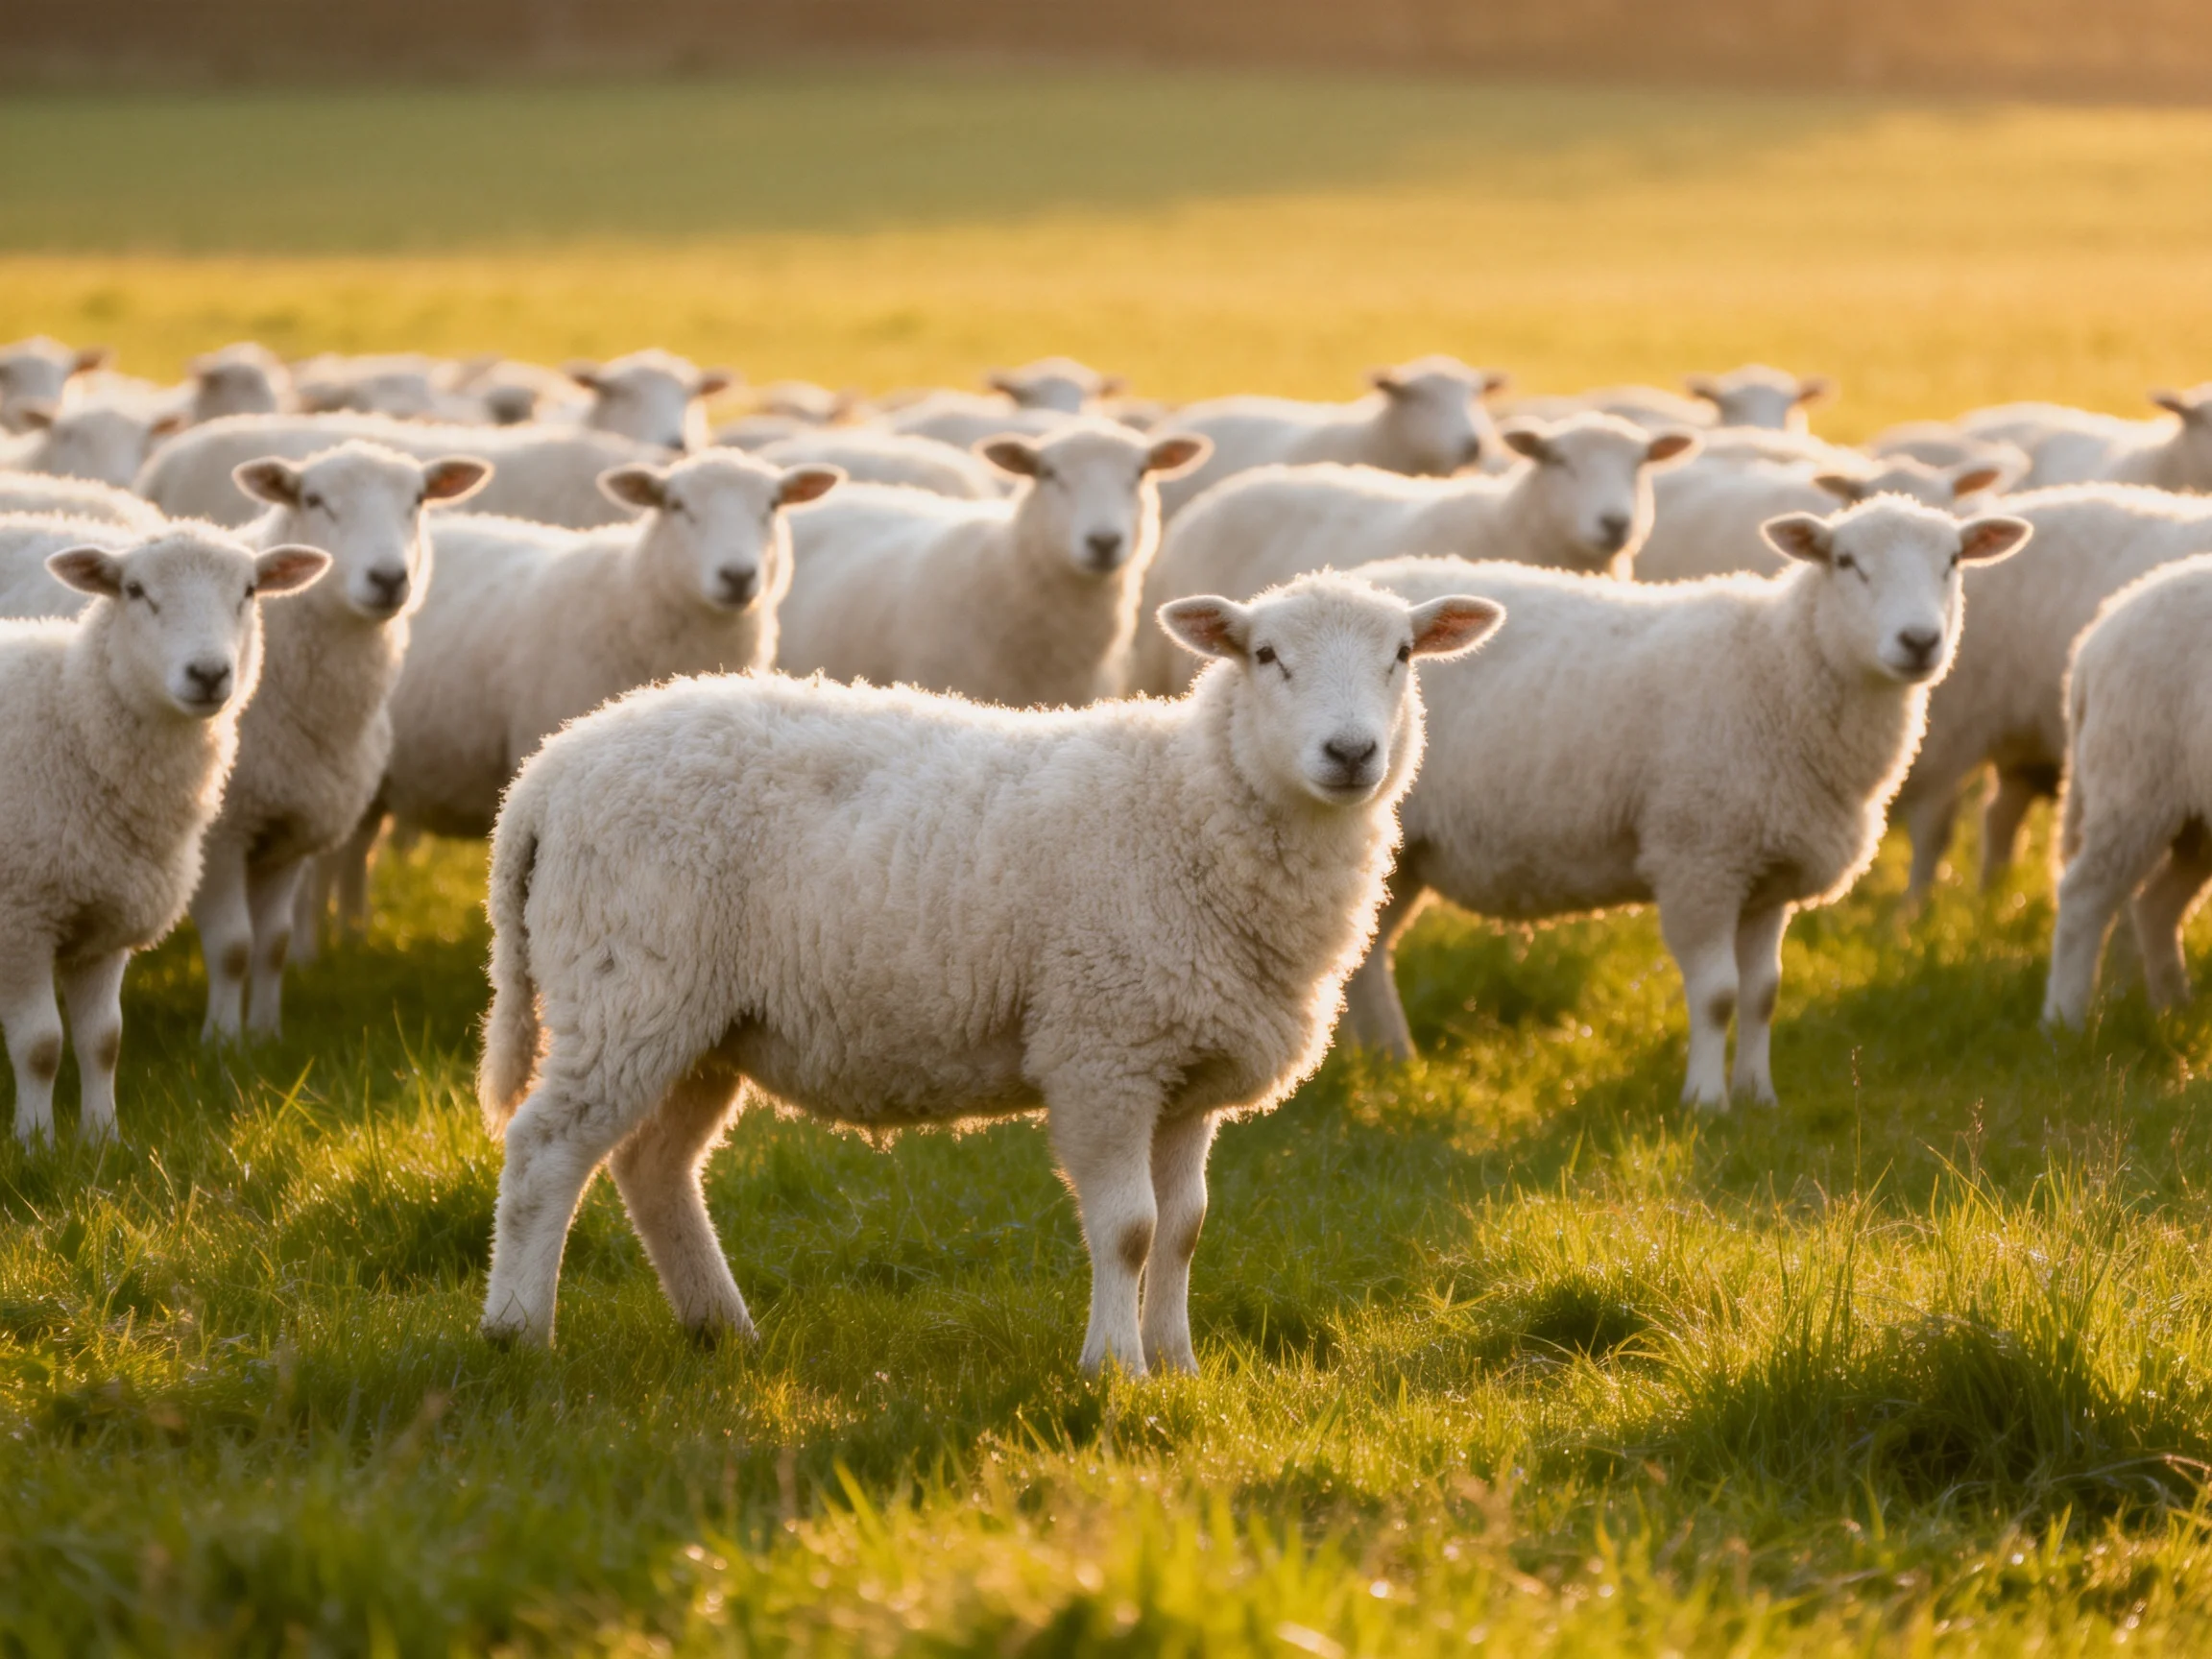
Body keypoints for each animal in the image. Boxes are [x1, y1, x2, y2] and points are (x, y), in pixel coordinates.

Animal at [0, 524, 328, 1144]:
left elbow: (103, 1041)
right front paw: (35, 1144)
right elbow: (40, 1046)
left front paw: (101, 1140)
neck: (71, 721)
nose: (208, 674)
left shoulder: (106, 916)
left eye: (250, 591)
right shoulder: (22, 919)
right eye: (134, 590)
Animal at [471, 569, 1500, 1364]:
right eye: (1266, 656)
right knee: (546, 1151)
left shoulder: (1185, 1069)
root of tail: (548, 774)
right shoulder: (1102, 1050)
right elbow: (1129, 1229)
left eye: (1402, 656)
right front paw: (1113, 1368)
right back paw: (519, 1333)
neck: (1189, 805)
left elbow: (1185, 1229)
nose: (1352, 752)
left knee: (653, 1168)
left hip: (705, 1019)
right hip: (629, 983)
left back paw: (722, 1330)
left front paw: (1178, 1364)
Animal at [1340, 497, 2031, 1107]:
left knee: (1365, 956)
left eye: (1953, 562)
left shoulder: (1768, 872)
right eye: (1846, 561)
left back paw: (1382, 1062)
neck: (1780, 668)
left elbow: (1764, 993)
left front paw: (1758, 1096)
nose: (1919, 641)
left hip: (1402, 856)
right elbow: (1719, 995)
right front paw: (1705, 1101)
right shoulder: (1700, 859)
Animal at [1893, 484, 2212, 900]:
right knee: (1931, 823)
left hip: (2029, 742)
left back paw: (1993, 896)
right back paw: (1916, 906)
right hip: (1957, 721)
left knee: (1999, 814)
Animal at [2043, 554, 2212, 1027]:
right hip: (2133, 785)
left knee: (2154, 906)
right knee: (2084, 897)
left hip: (2192, 817)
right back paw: (2064, 1024)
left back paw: (2175, 1009)